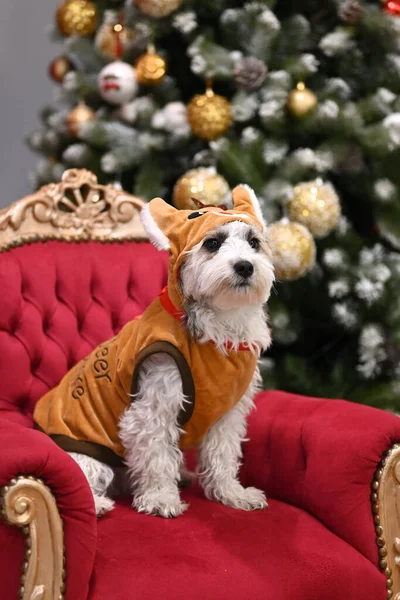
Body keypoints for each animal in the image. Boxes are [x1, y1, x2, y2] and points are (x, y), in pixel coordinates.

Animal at [34, 185, 276, 516]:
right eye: (212, 243)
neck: (218, 324)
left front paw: (231, 493)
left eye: (254, 243)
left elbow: (223, 454)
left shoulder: (227, 412)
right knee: (82, 474)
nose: (245, 266)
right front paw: (161, 498)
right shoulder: (154, 402)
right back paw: (96, 503)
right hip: (86, 449)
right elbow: (157, 455)